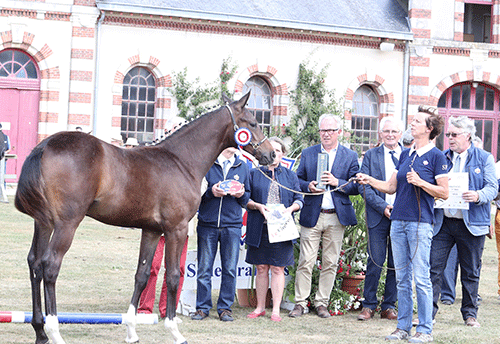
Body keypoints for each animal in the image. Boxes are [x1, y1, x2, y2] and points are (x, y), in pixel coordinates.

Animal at [14, 92, 274, 344]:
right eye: (252, 122)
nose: (270, 154)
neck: (181, 160)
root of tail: (45, 145)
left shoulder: (151, 230)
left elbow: (142, 275)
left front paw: (131, 331)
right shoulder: (176, 229)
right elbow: (172, 276)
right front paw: (174, 331)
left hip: (44, 223)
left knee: (34, 263)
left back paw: (40, 331)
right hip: (67, 224)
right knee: (50, 266)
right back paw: (55, 332)